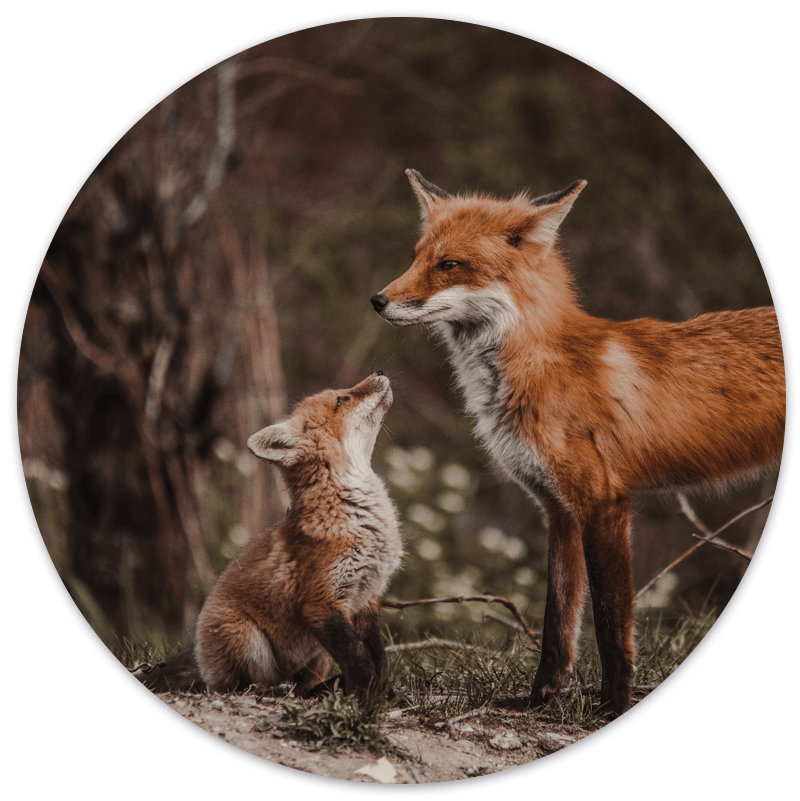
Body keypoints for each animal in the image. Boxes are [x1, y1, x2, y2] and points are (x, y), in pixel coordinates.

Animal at [134, 372, 402, 700]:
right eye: (342, 399)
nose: (379, 372)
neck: (359, 518)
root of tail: (202, 663)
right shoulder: (321, 603)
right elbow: (358, 656)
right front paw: (365, 695)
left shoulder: (367, 598)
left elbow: (377, 655)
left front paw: (380, 691)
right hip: (249, 641)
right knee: (248, 687)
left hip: (318, 655)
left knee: (302, 689)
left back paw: (324, 690)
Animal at [370, 169, 784, 716]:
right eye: (415, 257)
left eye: (449, 265)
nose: (377, 300)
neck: (535, 368)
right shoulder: (559, 508)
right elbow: (558, 623)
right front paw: (538, 702)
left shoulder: (603, 501)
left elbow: (611, 624)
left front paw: (614, 707)